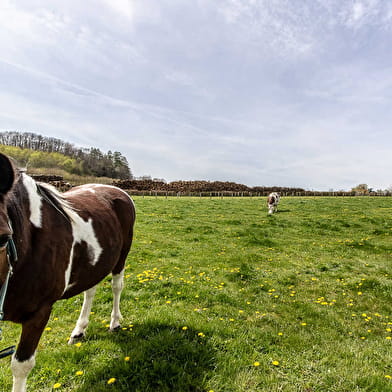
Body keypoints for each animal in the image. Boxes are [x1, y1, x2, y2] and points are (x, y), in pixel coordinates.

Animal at [0, 154, 136, 392]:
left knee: (117, 287)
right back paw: (79, 330)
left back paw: (115, 323)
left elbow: (21, 366)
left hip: (121, 257)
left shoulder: (39, 313)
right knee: (90, 291)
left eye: (2, 237)